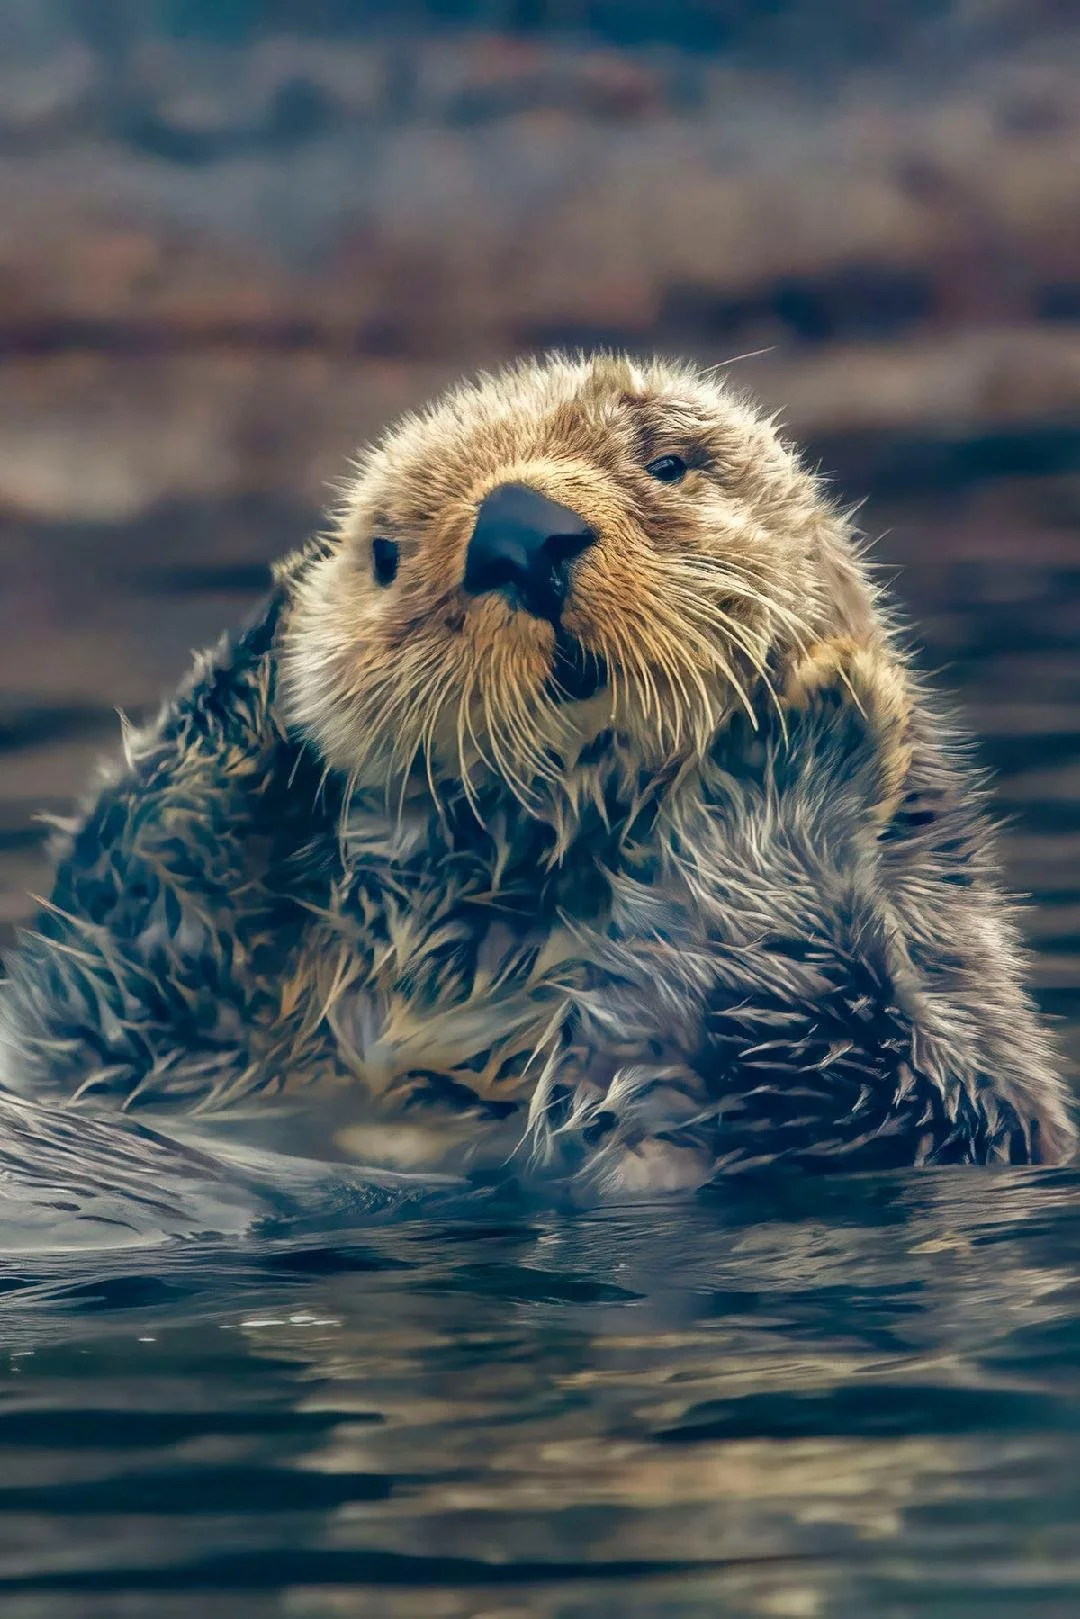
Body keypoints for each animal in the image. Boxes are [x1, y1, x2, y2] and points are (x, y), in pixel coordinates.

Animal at [0, 352, 1074, 1199]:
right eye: (388, 551)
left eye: (668, 461)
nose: (519, 532)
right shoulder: (148, 1037)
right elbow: (108, 969)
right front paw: (279, 632)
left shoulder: (950, 1035)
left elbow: (862, 1078)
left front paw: (818, 719)